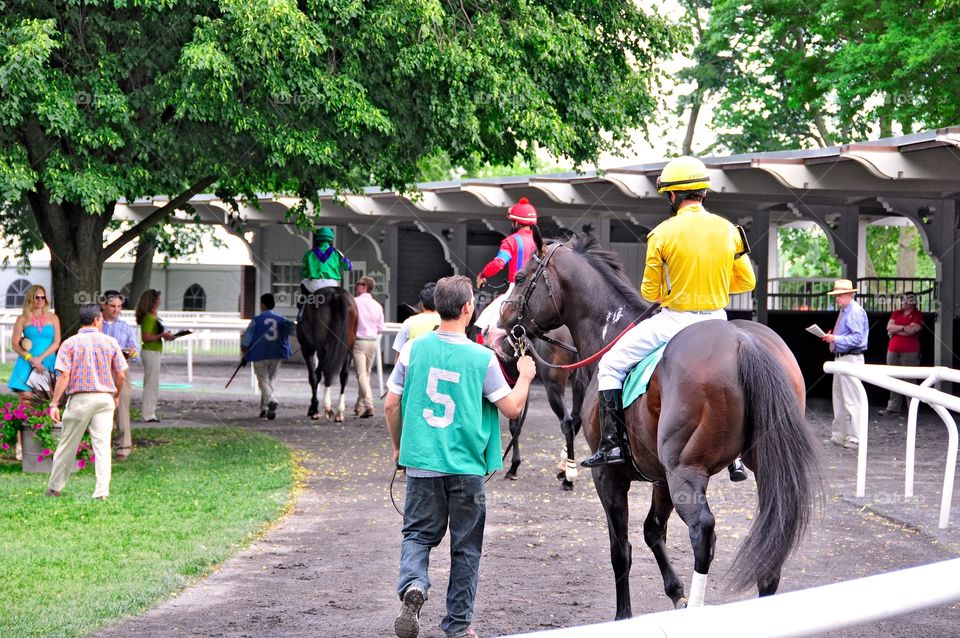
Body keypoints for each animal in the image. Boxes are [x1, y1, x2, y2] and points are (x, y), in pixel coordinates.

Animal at [296, 288, 356, 422]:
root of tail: (336, 295)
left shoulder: (307, 349)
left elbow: (313, 377)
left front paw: (314, 409)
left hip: (321, 348)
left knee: (322, 372)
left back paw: (327, 407)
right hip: (348, 348)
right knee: (344, 375)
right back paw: (339, 411)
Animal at [498, 236, 820, 620]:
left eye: (520, 277)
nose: (503, 320)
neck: (610, 329)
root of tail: (745, 341)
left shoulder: (610, 477)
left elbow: (620, 549)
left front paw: (624, 615)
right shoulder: (660, 478)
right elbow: (652, 531)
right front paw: (675, 592)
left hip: (686, 471)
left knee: (702, 532)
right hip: (761, 466)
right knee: (773, 531)